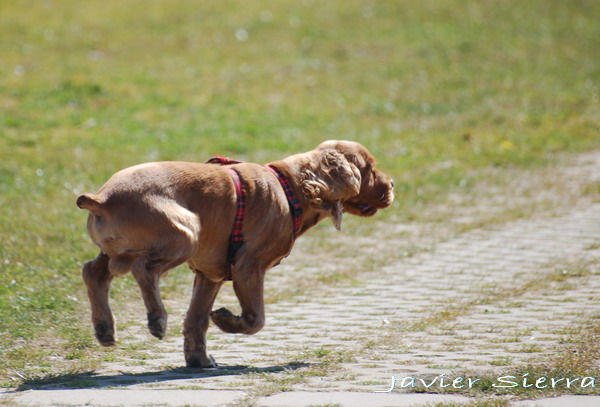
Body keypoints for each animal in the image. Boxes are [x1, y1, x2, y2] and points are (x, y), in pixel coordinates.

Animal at [77, 139, 394, 366]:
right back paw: (157, 318)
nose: (392, 184)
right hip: (184, 232)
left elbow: (197, 319)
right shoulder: (248, 266)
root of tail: (101, 198)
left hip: (119, 252)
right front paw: (226, 320)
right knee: (143, 269)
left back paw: (104, 328)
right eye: (370, 167)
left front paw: (200, 359)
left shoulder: (210, 273)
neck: (289, 189)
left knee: (93, 271)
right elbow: (256, 319)